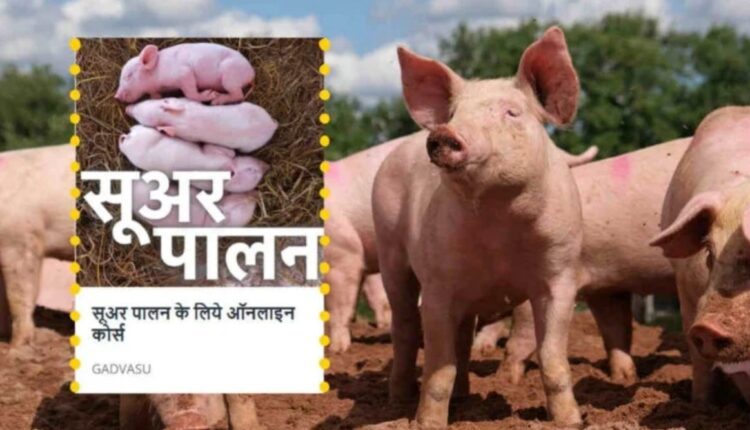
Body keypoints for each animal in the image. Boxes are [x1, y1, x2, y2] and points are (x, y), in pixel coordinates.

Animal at [115, 43, 254, 105]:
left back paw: (216, 101)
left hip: (230, 75)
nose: (116, 96)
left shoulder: (184, 73)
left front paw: (210, 94)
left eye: (129, 75)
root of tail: (251, 72)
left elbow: (190, 93)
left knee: (239, 94)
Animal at [119, 125, 269, 193]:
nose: (267, 165)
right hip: (146, 133)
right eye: (252, 172)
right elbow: (220, 149)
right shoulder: (215, 153)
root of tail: (128, 138)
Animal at [371, 27, 585, 427]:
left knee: (462, 339)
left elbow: (551, 357)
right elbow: (438, 367)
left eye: (512, 112)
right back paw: (397, 402)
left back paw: (464, 398)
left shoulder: (561, 275)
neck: (498, 223)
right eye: (455, 113)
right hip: (390, 252)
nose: (444, 133)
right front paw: (427, 424)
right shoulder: (438, 284)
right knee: (405, 327)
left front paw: (571, 422)